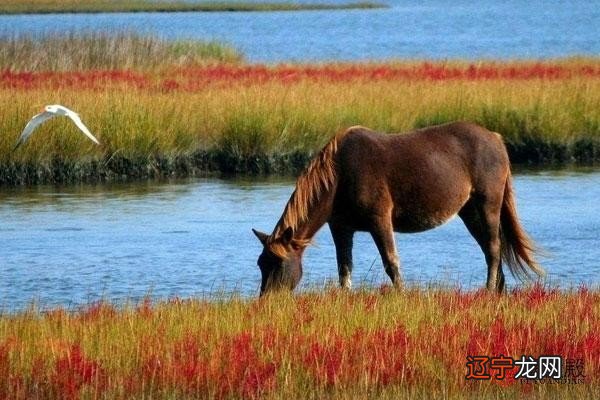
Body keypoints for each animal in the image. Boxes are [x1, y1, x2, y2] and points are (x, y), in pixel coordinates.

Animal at [253, 121, 544, 294]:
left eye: (278, 263)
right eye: (260, 263)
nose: (267, 301)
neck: (339, 176)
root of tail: (496, 138)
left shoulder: (380, 220)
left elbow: (391, 262)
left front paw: (401, 295)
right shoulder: (341, 227)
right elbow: (344, 267)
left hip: (488, 204)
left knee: (493, 248)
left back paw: (488, 290)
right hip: (469, 211)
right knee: (489, 248)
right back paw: (498, 289)